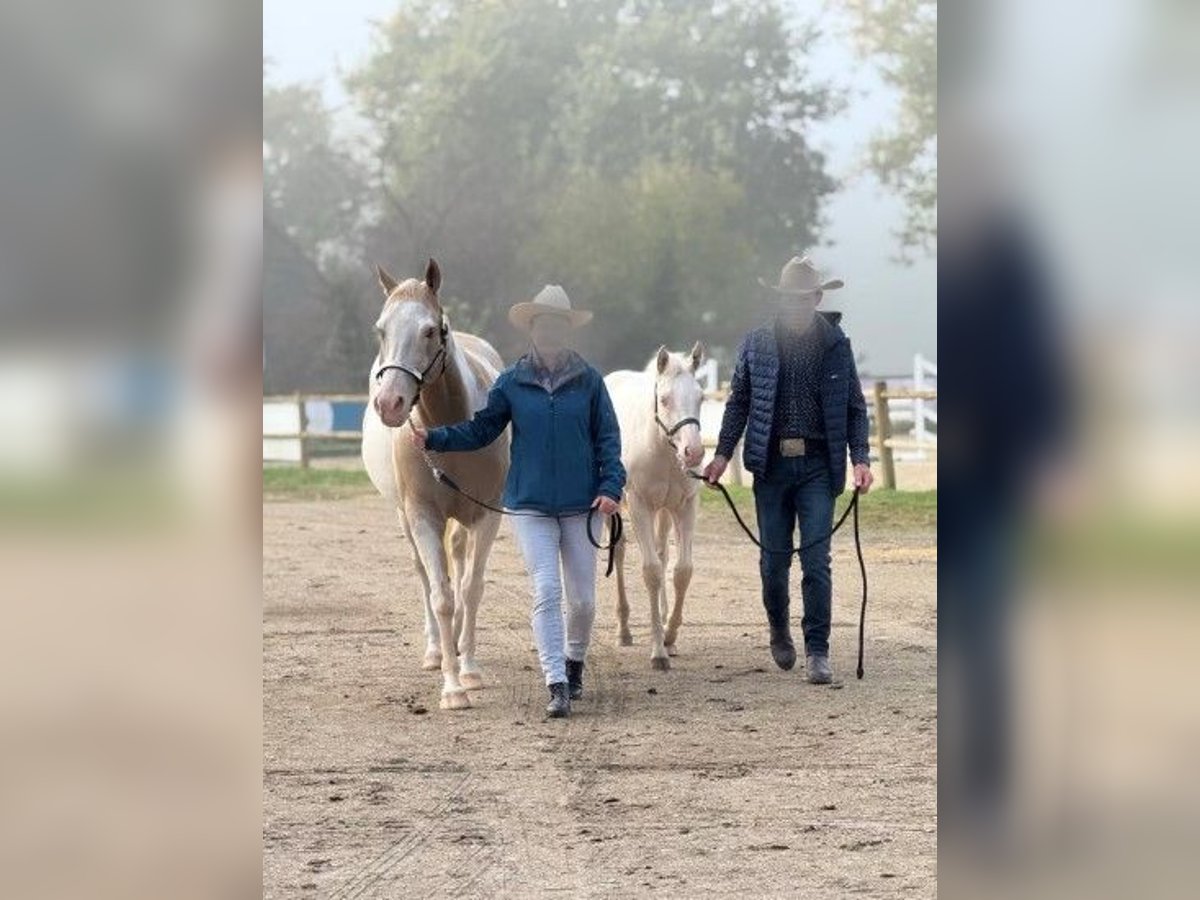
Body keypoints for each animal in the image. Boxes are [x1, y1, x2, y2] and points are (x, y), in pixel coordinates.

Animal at [361, 258, 509, 710]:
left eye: (430, 330)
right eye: (381, 330)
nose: (389, 404)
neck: (452, 429)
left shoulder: (486, 515)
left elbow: (471, 588)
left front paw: (470, 671)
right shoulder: (423, 515)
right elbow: (440, 595)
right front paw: (452, 687)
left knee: (458, 562)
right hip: (404, 516)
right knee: (426, 577)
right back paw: (434, 651)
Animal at [604, 343, 706, 669]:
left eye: (701, 397)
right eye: (664, 399)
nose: (693, 452)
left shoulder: (685, 506)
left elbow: (682, 571)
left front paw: (670, 635)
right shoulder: (640, 506)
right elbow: (650, 571)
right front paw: (658, 652)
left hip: (664, 512)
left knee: (662, 554)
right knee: (620, 552)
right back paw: (624, 631)